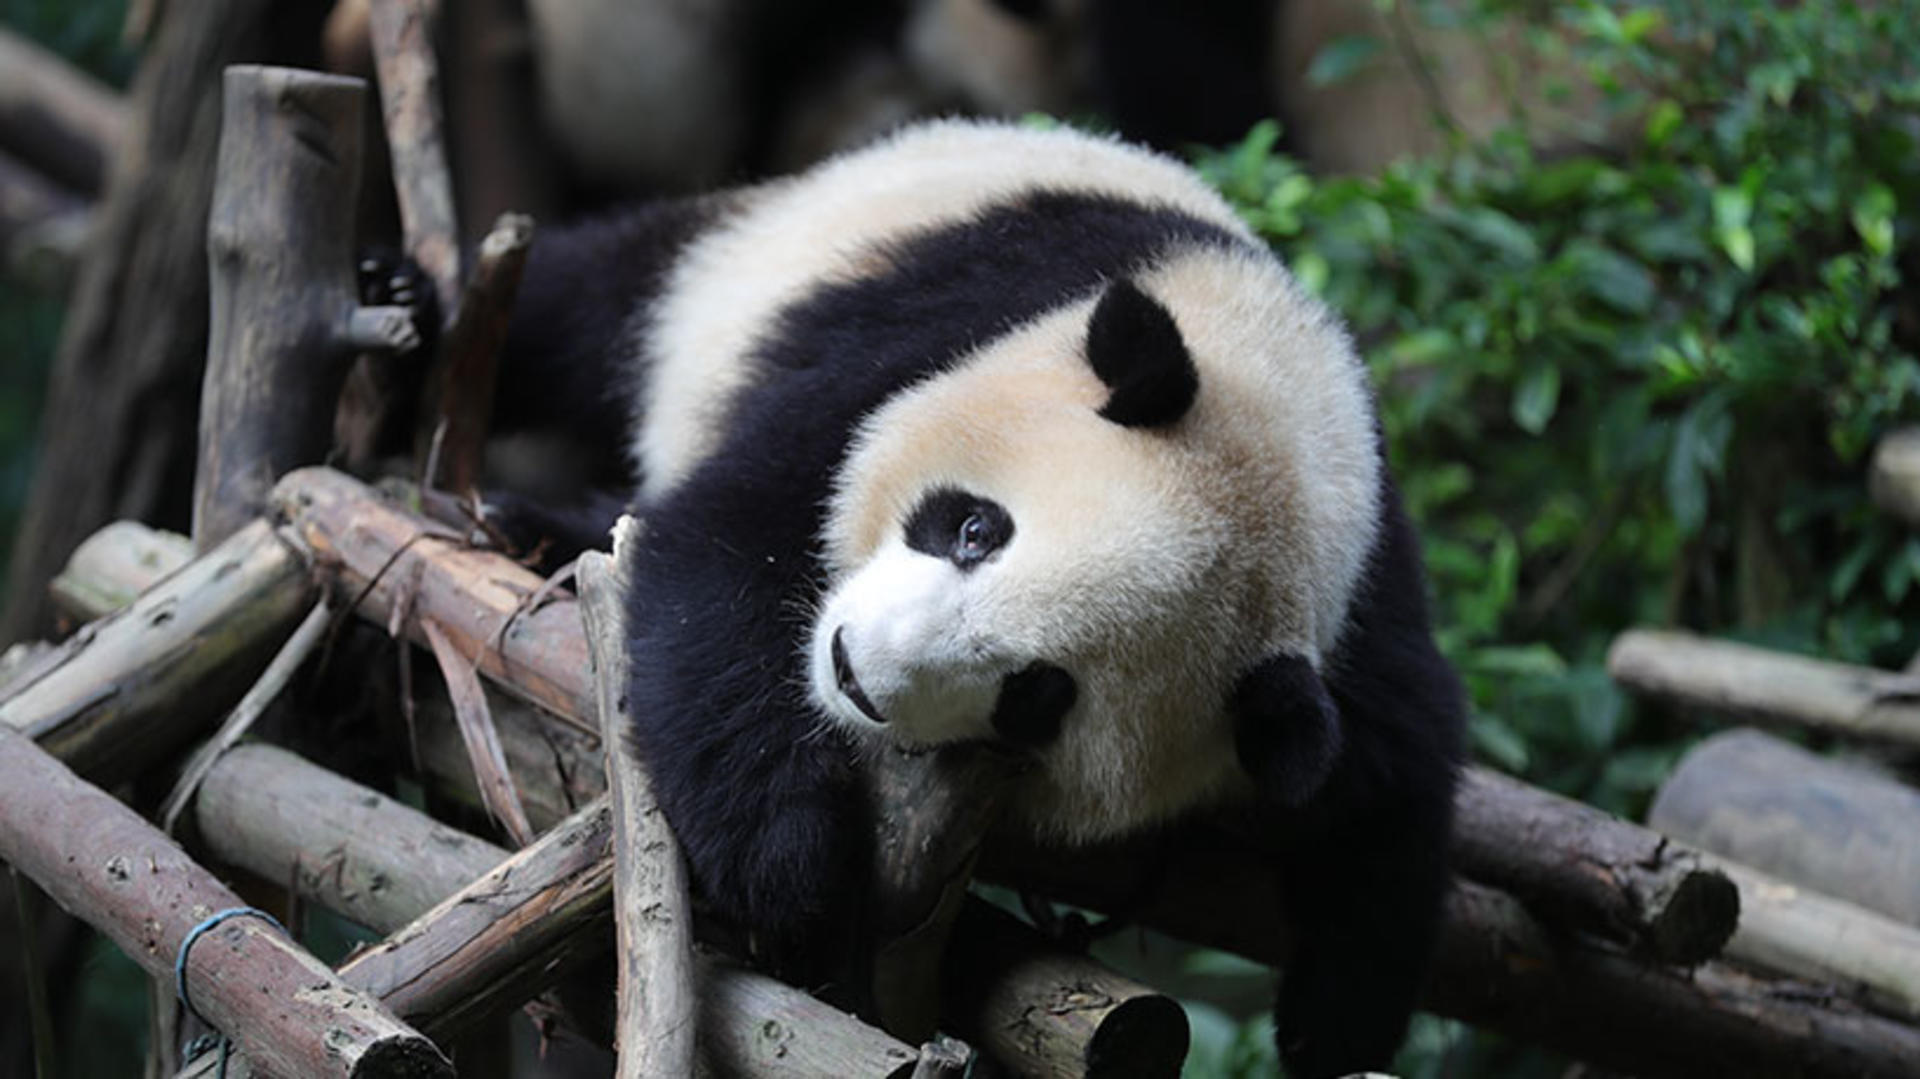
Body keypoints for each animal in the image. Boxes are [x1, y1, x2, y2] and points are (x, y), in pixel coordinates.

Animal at [485, 119, 1466, 1078]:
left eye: (1037, 696)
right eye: (974, 529)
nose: (854, 669)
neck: (1286, 414)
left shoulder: (1361, 607)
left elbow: (1388, 790)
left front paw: (1334, 1023)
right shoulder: (947, 332)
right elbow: (723, 536)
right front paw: (784, 860)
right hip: (766, 248)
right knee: (597, 298)